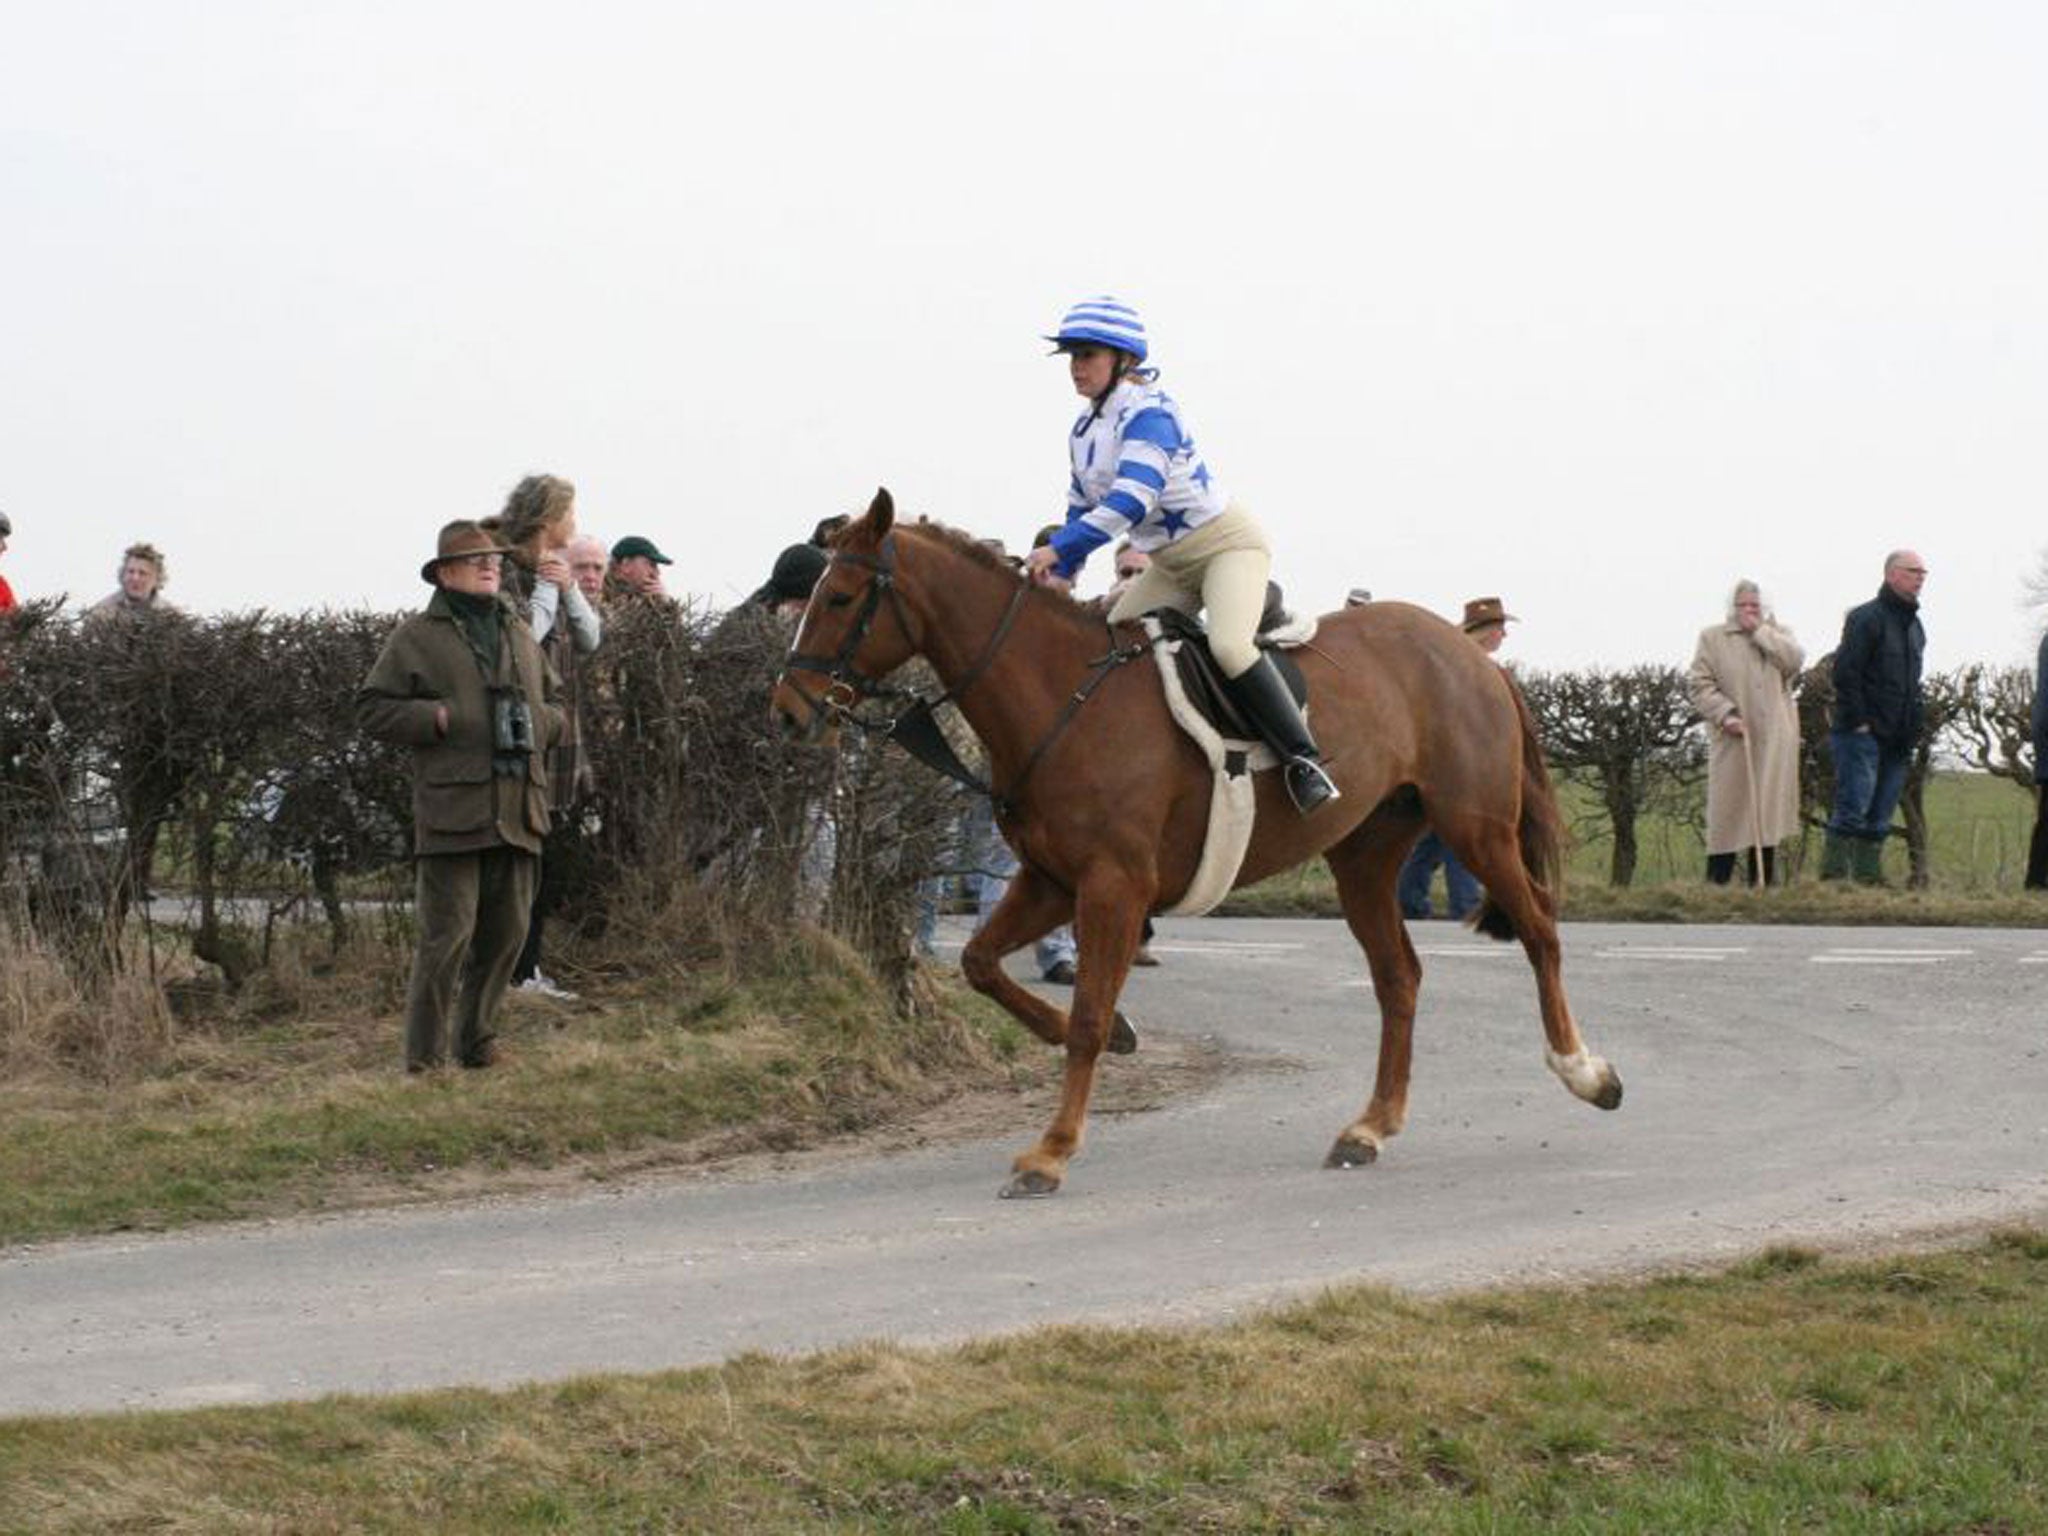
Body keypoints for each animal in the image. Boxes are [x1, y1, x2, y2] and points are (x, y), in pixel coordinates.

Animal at [774, 493, 1622, 1204]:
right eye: (809, 597)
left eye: (840, 598)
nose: (787, 711)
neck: (1059, 696)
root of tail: (1470, 654)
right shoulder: (1050, 880)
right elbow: (984, 964)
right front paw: (1109, 1038)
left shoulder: (1111, 886)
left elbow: (1085, 1014)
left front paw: (1051, 1151)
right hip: (1365, 855)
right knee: (1399, 978)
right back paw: (1370, 1127)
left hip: (1477, 828)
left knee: (1539, 933)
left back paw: (1586, 1072)